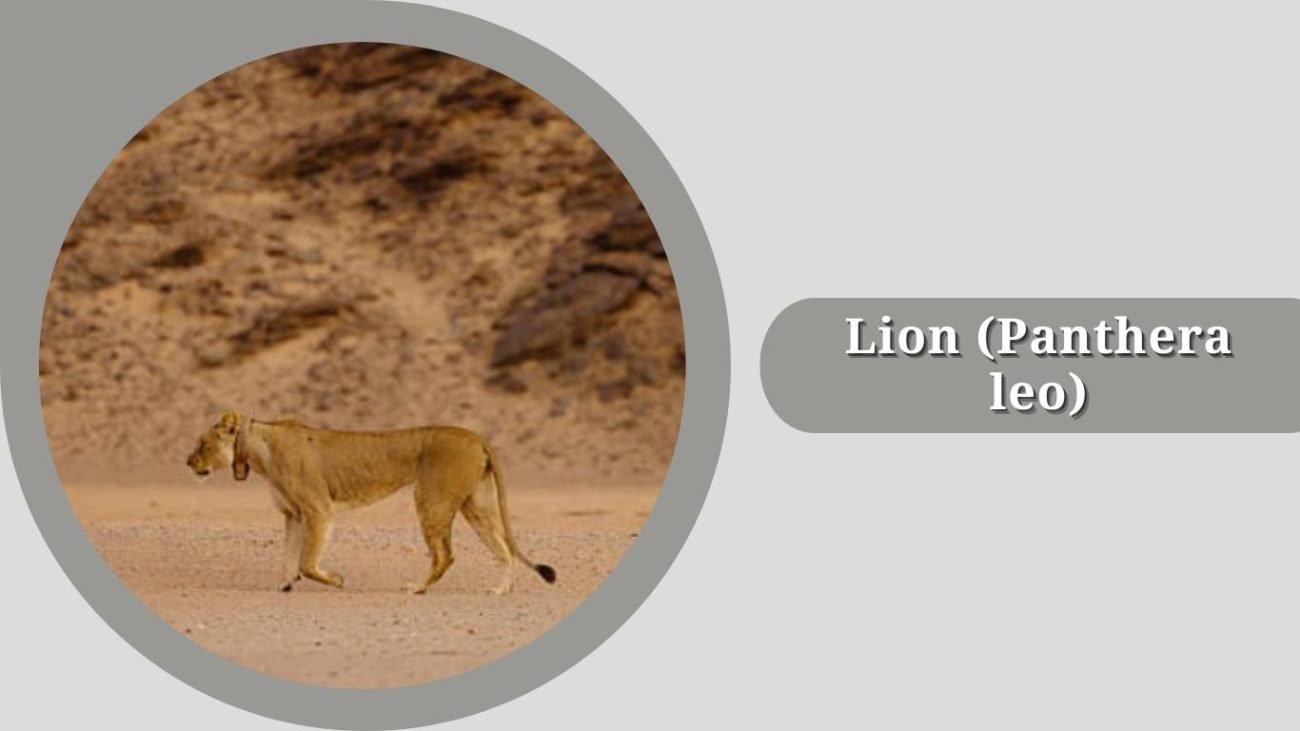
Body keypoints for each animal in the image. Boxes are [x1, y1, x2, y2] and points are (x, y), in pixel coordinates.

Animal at [185, 411, 556, 595]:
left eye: (202, 443)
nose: (187, 463)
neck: (258, 452)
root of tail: (476, 436)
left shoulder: (319, 510)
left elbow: (307, 561)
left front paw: (337, 581)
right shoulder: (293, 514)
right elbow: (289, 557)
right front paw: (285, 585)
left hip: (431, 500)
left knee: (445, 555)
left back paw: (417, 588)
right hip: (476, 505)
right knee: (504, 549)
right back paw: (501, 591)